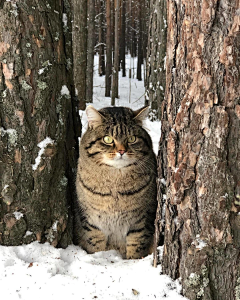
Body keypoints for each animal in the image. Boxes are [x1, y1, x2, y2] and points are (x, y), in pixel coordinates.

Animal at [75, 105, 158, 258]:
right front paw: (98, 257)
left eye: (132, 138)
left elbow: (136, 245)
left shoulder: (143, 220)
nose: (121, 151)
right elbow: (95, 245)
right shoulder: (92, 222)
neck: (115, 183)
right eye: (108, 139)